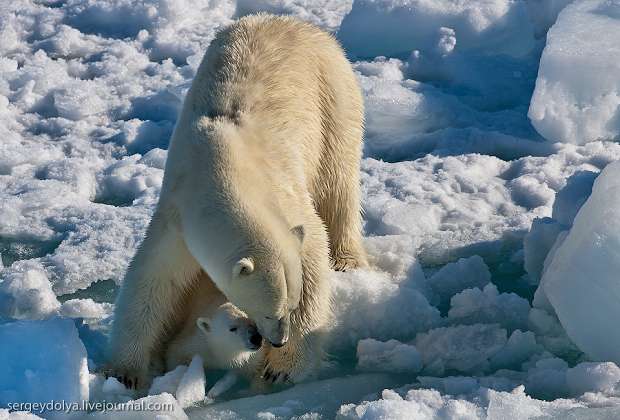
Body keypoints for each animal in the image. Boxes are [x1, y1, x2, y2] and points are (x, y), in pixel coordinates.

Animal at [108, 13, 366, 390]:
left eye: (292, 306)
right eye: (269, 310)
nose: (278, 340)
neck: (224, 167)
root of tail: (293, 22)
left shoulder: (284, 195)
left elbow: (314, 248)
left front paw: (283, 367)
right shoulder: (178, 214)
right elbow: (153, 279)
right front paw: (123, 373)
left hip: (333, 94)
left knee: (337, 180)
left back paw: (347, 258)